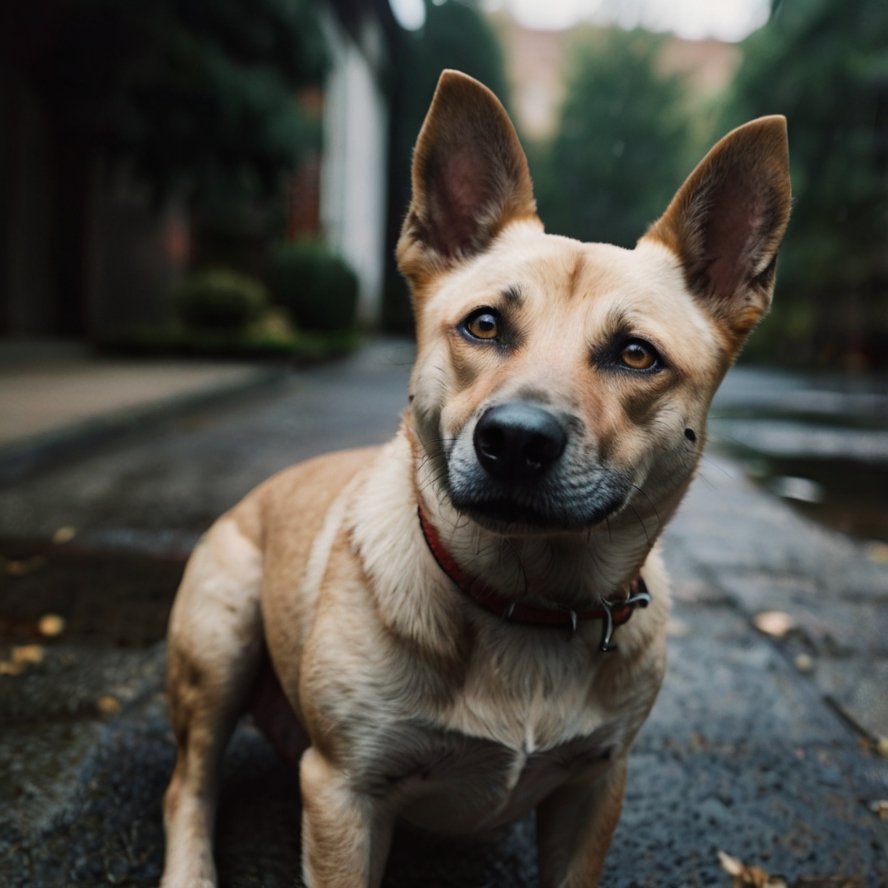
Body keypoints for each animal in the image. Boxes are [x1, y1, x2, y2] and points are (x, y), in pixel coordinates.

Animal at [163, 71, 796, 888]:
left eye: (636, 354)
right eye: (485, 325)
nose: (516, 442)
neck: (524, 604)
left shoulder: (595, 788)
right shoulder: (341, 793)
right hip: (220, 638)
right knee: (190, 783)